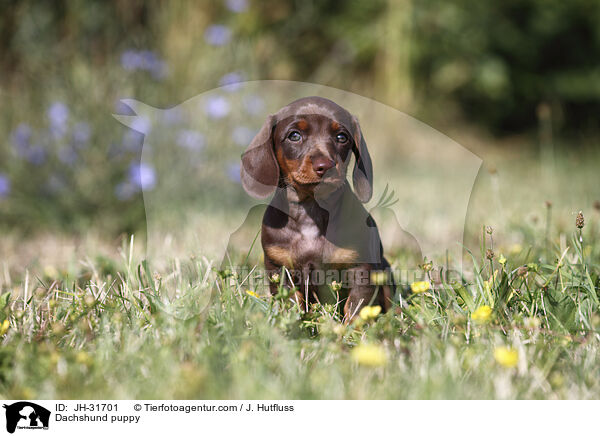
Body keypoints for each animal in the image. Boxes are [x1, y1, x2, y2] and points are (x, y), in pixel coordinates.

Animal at [239, 96, 394, 320]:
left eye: (341, 137)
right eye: (294, 135)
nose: (325, 166)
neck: (310, 210)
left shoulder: (360, 268)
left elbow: (356, 308)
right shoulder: (280, 268)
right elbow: (291, 304)